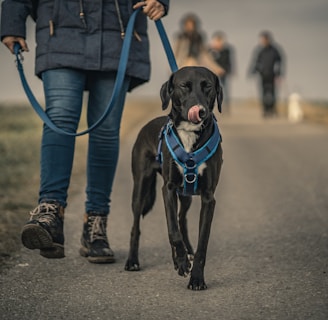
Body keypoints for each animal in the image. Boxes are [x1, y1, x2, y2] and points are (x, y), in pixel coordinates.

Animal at [125, 67, 223, 290]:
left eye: (208, 86)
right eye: (184, 86)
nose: (201, 111)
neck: (189, 134)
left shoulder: (208, 197)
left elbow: (202, 241)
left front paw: (196, 278)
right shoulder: (167, 189)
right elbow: (172, 231)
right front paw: (181, 262)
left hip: (185, 195)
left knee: (181, 218)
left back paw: (186, 253)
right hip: (140, 188)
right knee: (137, 226)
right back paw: (133, 261)